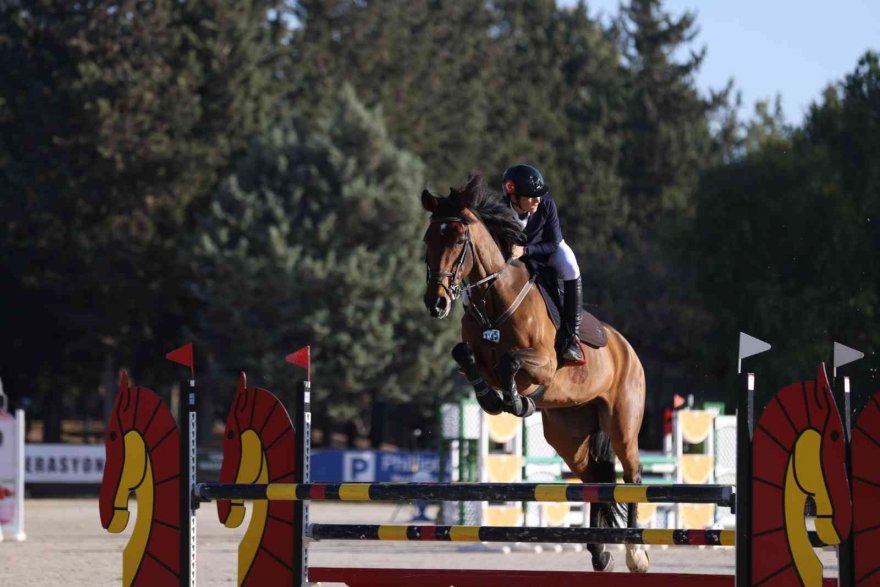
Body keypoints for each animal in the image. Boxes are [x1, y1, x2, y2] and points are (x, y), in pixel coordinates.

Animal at [422, 175, 648, 576]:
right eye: (427, 240)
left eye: (460, 240)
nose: (437, 303)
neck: (495, 298)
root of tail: (628, 349)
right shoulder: (475, 353)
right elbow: (466, 355)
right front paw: (491, 397)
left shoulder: (542, 363)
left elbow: (511, 363)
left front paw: (515, 401)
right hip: (567, 432)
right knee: (595, 477)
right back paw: (599, 551)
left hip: (622, 423)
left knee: (631, 476)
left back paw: (634, 553)